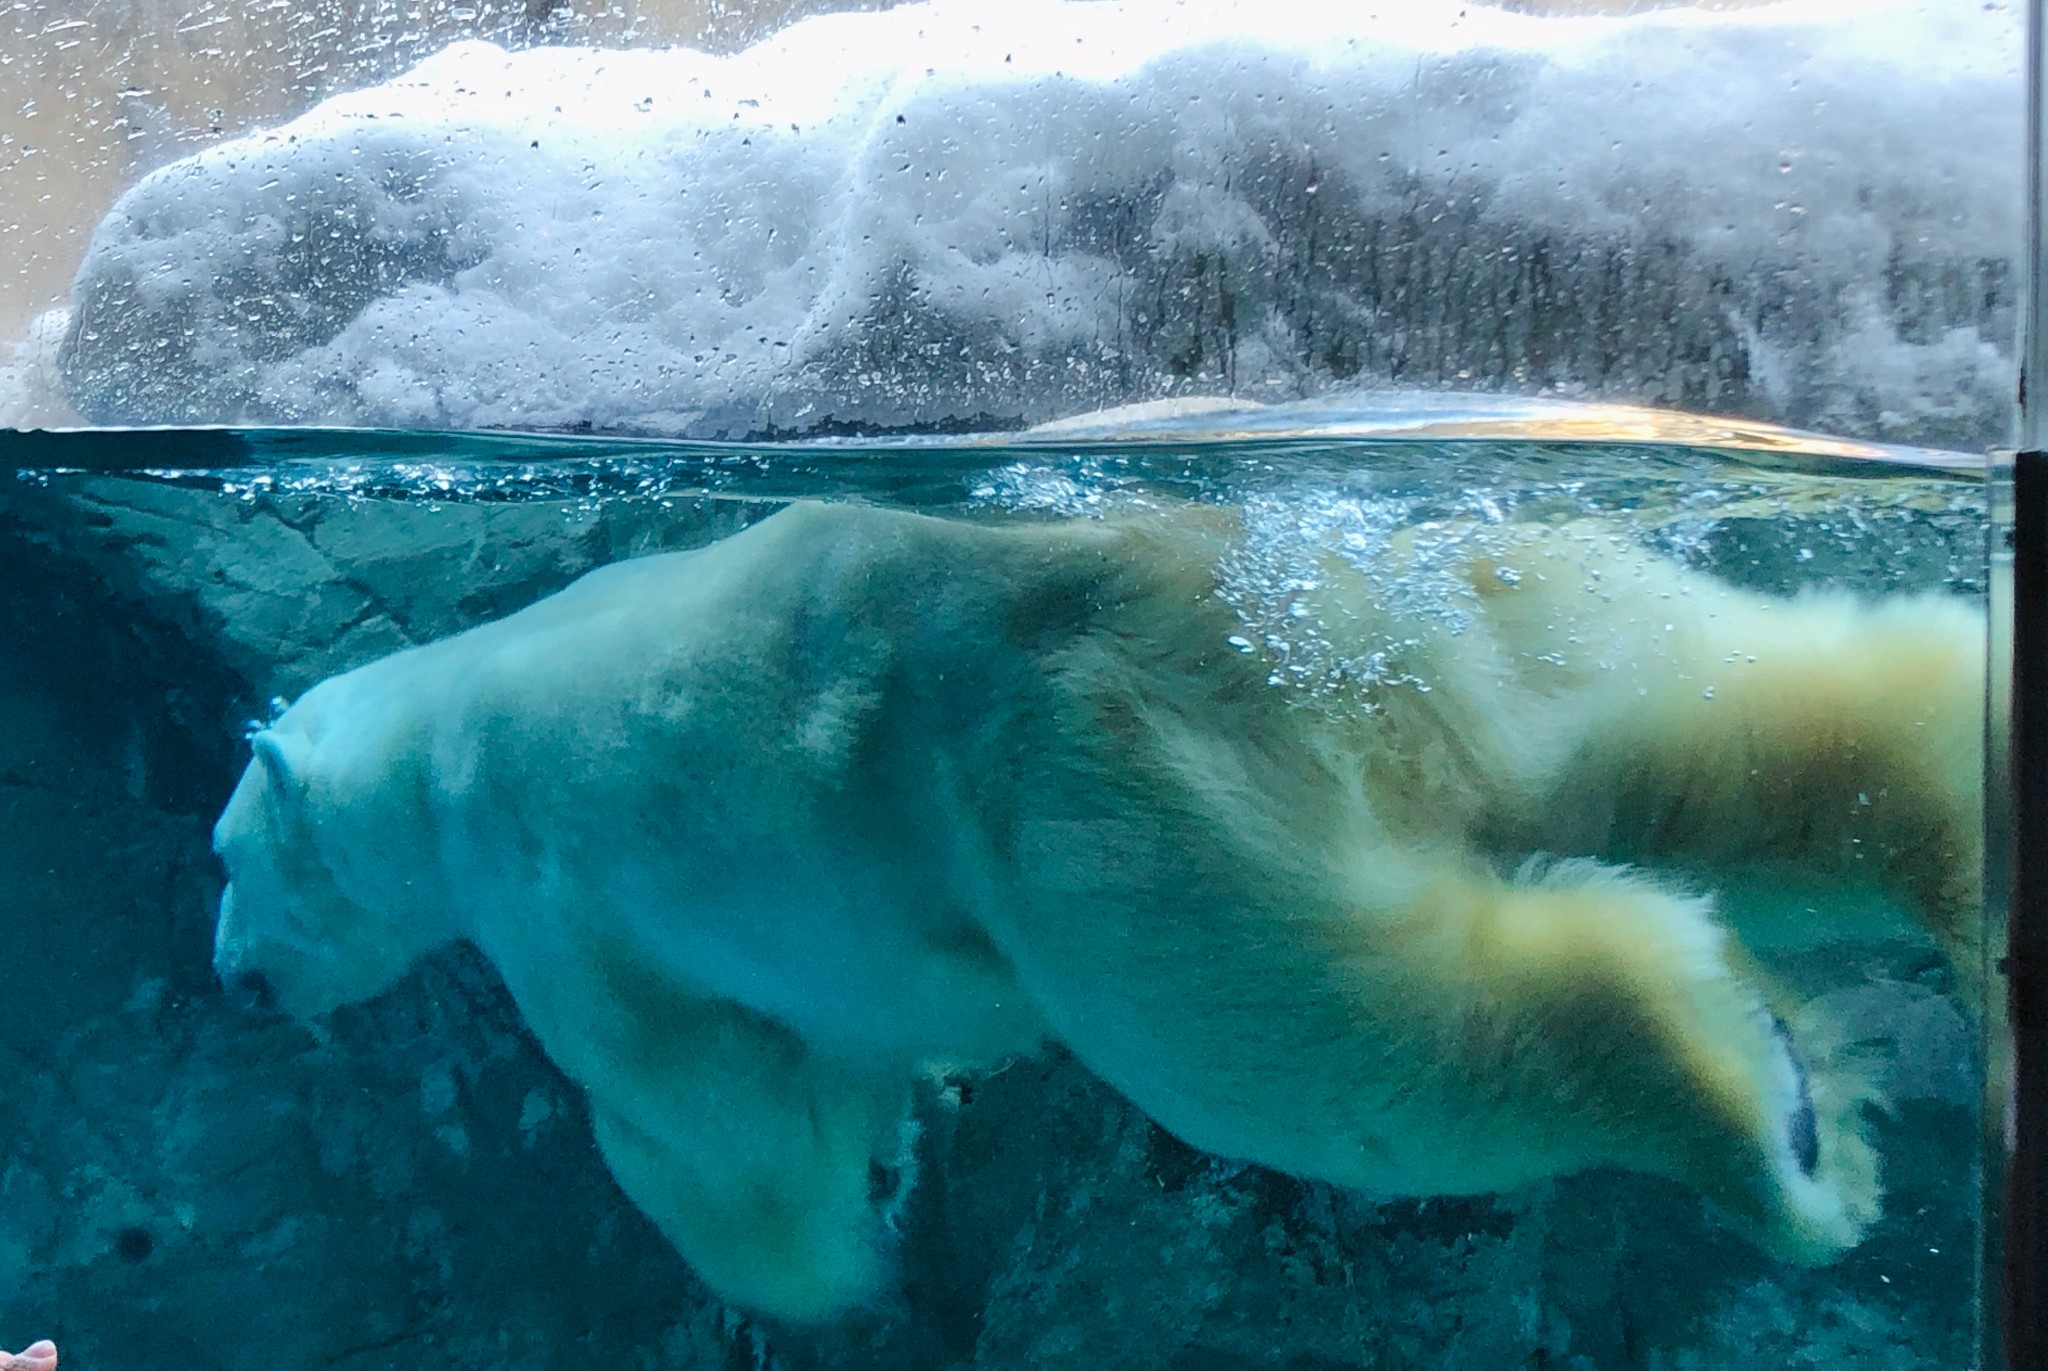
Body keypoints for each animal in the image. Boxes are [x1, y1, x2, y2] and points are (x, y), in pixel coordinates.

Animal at [211, 500, 1982, 1311]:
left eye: (222, 859)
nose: (229, 977)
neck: (433, 749)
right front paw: (913, 1123)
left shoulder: (563, 901)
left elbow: (712, 1129)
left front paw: (838, 1248)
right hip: (1496, 601)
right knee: (1723, 722)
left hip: (1093, 783)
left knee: (1328, 1041)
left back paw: (1760, 1121)